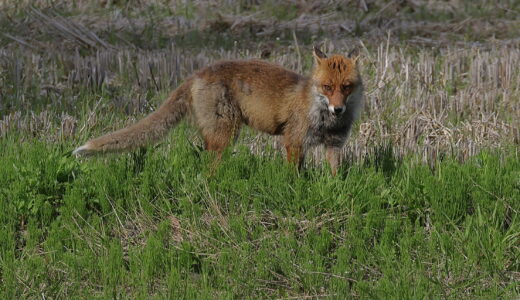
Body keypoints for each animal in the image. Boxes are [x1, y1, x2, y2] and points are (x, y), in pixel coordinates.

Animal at [73, 45, 364, 175]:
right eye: (327, 87)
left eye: (346, 87)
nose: (338, 109)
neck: (324, 119)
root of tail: (197, 73)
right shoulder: (294, 141)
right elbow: (293, 175)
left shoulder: (334, 145)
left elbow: (336, 175)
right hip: (225, 134)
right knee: (208, 168)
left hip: (217, 135)